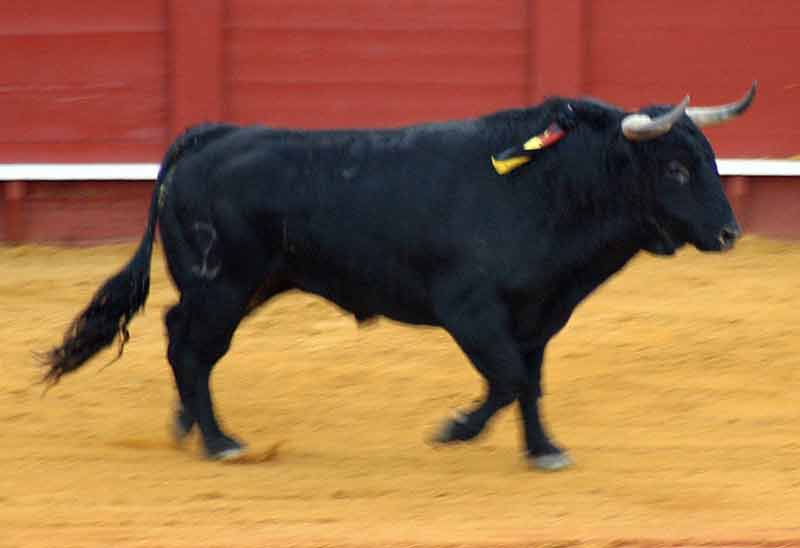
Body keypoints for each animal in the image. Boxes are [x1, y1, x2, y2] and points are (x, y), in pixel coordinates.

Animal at [43, 83, 756, 468]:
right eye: (676, 169)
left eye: (711, 159)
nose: (729, 234)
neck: (547, 186)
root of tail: (210, 137)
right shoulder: (471, 311)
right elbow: (507, 380)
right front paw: (455, 430)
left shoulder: (536, 316)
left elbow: (529, 383)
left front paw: (543, 449)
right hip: (222, 285)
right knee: (191, 348)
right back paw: (221, 442)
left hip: (240, 287)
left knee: (181, 337)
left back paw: (189, 427)